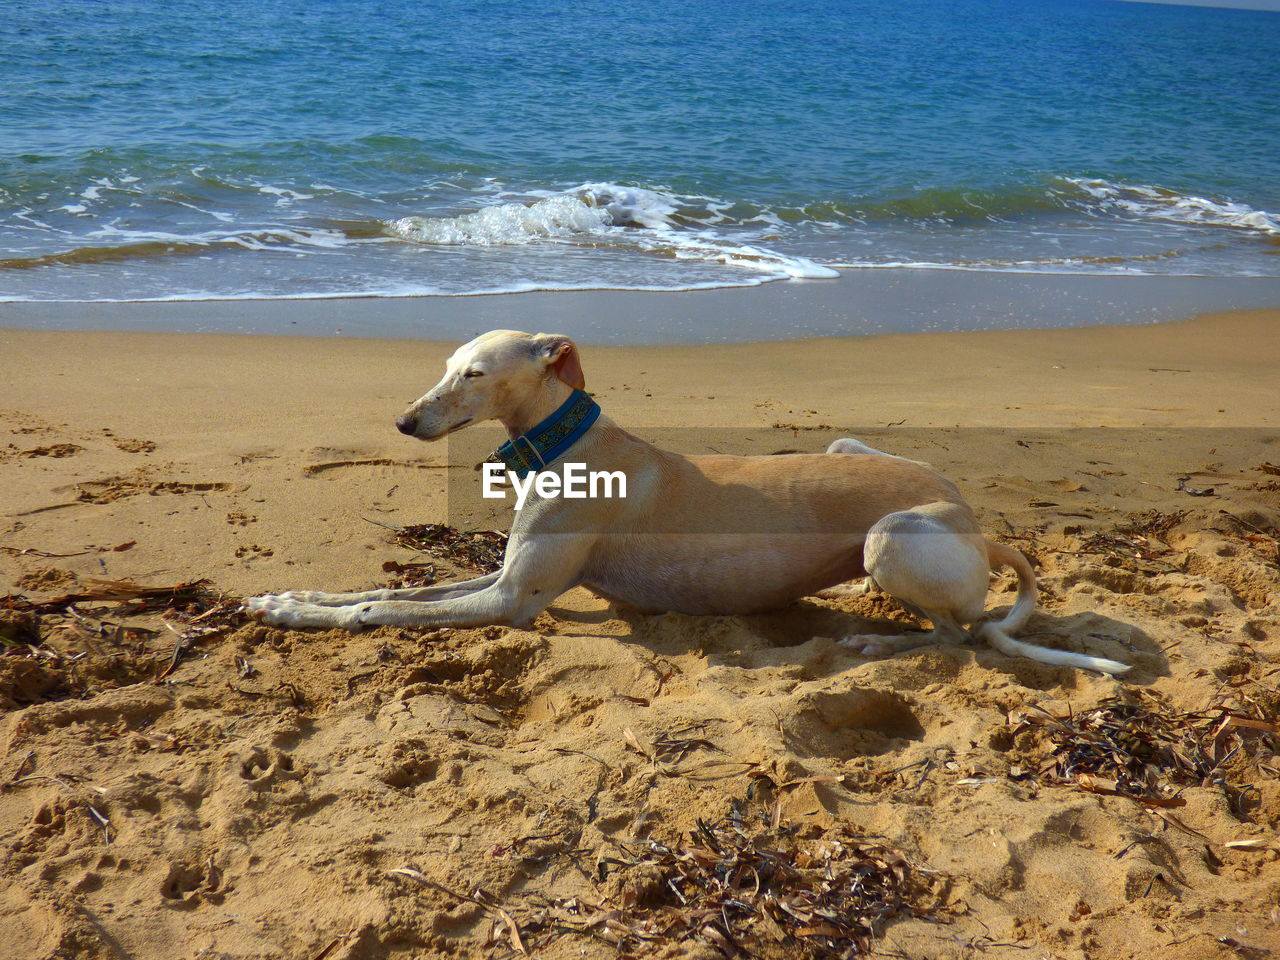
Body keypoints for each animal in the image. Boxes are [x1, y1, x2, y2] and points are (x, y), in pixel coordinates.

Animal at [247, 330, 1131, 675]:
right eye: (445, 365)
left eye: (474, 372)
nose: (404, 422)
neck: (569, 446)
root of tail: (977, 523)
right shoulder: (501, 577)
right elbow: (380, 590)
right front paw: (287, 598)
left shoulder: (513, 599)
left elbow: (381, 610)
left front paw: (308, 615)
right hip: (848, 449)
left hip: (892, 537)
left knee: (957, 636)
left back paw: (873, 643)